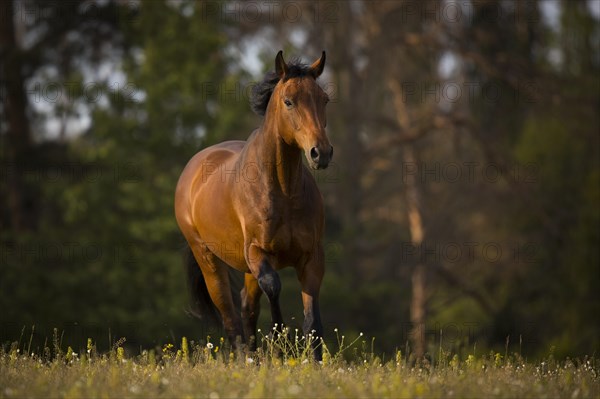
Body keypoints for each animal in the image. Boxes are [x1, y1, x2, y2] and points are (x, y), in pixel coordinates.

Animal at [173, 50, 332, 360]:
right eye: (289, 101)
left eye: (324, 100)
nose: (321, 153)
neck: (285, 193)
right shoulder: (258, 253)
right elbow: (273, 287)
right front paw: (280, 345)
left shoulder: (311, 257)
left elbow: (313, 322)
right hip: (210, 262)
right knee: (231, 317)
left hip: (245, 269)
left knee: (247, 307)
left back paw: (252, 359)